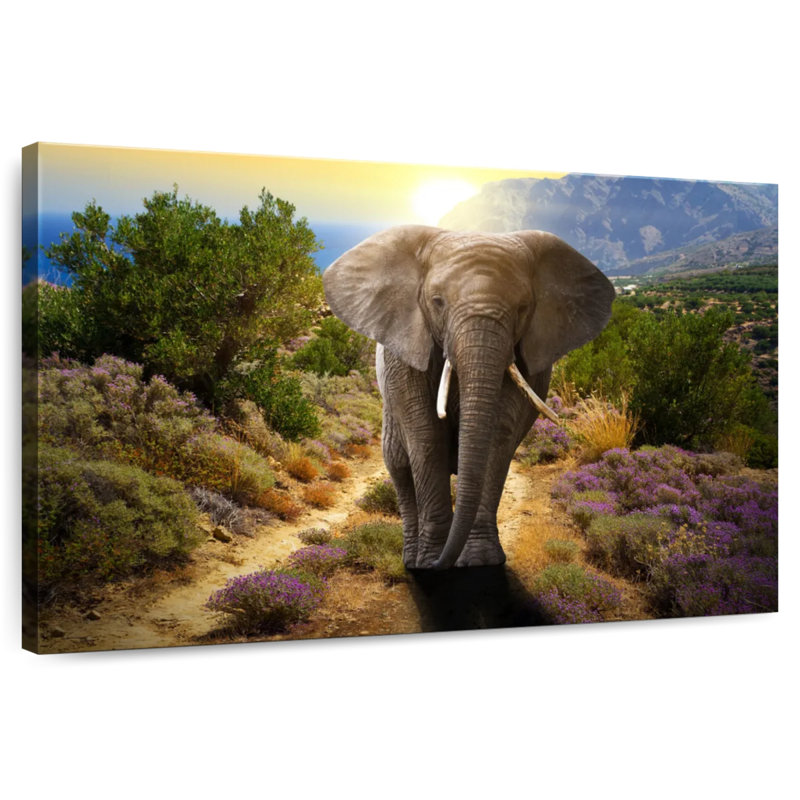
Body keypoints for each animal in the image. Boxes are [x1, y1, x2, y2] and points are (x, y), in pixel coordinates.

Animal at [323, 226, 614, 570]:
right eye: (437, 302)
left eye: (523, 308)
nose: (441, 564)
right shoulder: (405, 352)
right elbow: (426, 435)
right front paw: (431, 562)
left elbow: (499, 434)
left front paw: (479, 561)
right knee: (399, 465)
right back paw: (412, 560)